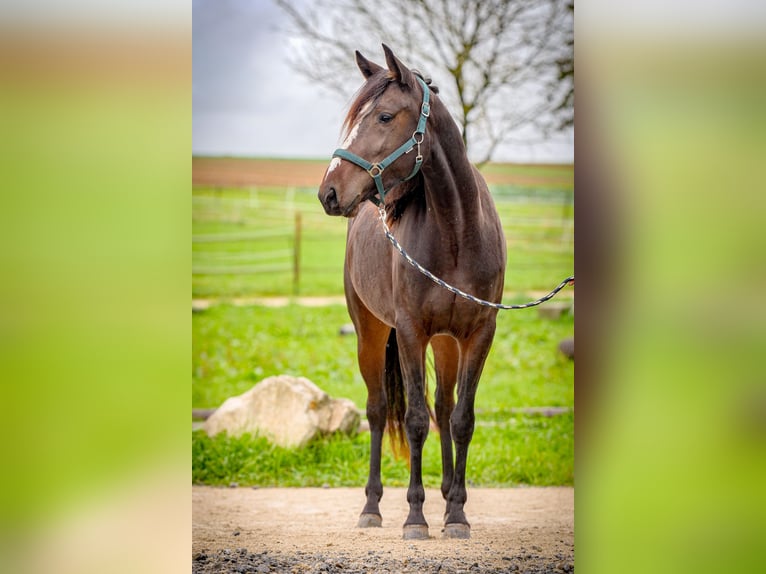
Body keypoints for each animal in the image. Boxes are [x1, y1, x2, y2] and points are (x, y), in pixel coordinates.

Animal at [317, 44, 507, 540]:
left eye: (384, 116)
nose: (329, 192)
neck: (457, 231)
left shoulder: (479, 334)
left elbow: (461, 420)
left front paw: (456, 513)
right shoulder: (408, 332)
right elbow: (417, 420)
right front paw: (415, 516)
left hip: (445, 342)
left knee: (444, 405)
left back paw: (445, 494)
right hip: (371, 333)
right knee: (379, 410)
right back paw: (372, 507)